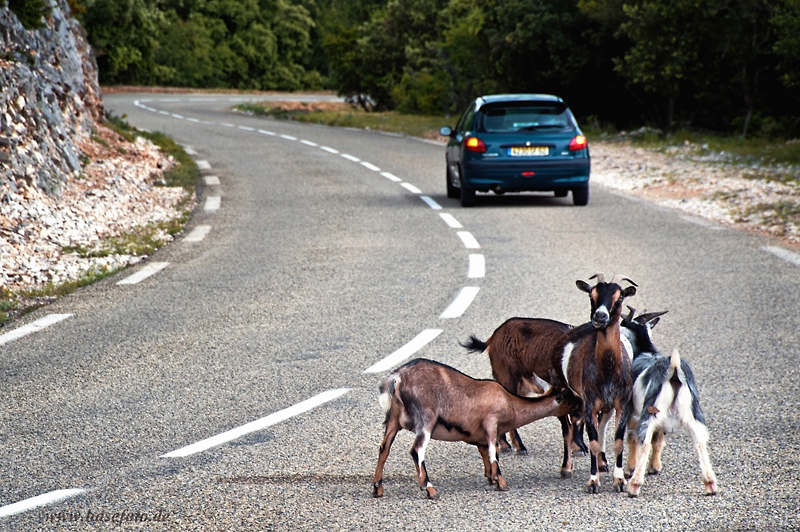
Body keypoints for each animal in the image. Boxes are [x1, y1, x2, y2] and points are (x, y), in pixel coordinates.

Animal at [372, 358, 580, 498]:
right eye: (569, 396)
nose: (581, 402)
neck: (510, 403)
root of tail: (395, 379)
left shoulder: (479, 436)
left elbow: (485, 454)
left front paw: (491, 478)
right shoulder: (491, 423)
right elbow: (493, 452)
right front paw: (501, 482)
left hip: (393, 420)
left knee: (384, 448)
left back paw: (377, 488)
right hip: (426, 419)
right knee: (417, 450)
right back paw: (430, 489)